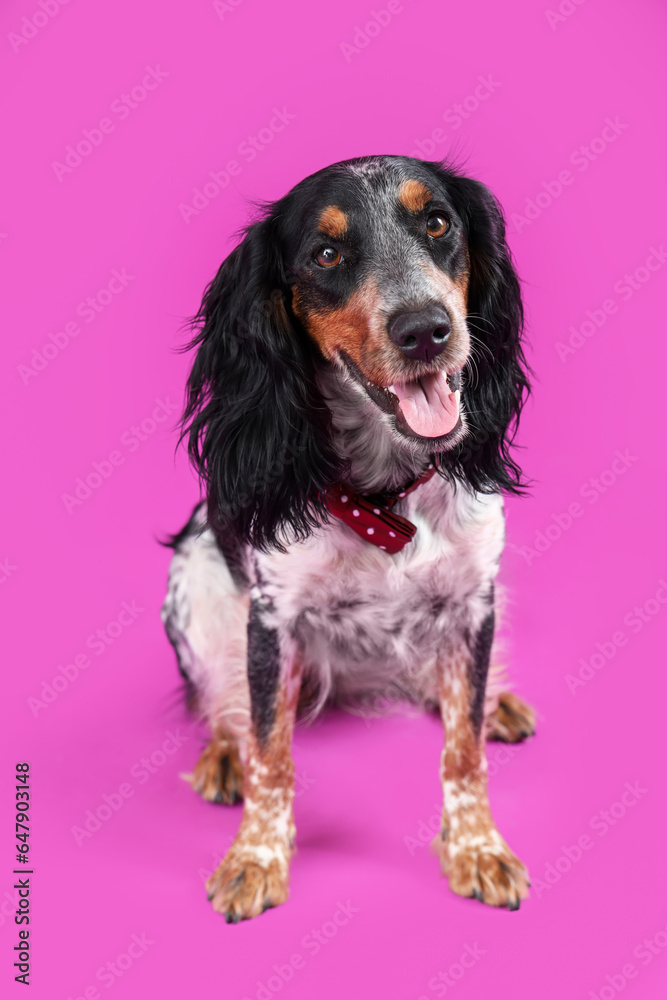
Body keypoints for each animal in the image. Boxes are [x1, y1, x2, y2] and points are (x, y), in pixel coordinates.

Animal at [162, 156, 536, 920]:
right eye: (326, 255)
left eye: (438, 223)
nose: (425, 329)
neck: (385, 497)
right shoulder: (271, 618)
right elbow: (271, 753)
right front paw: (255, 857)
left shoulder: (472, 601)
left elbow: (463, 751)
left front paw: (477, 846)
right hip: (195, 578)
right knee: (221, 699)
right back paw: (222, 751)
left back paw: (496, 702)